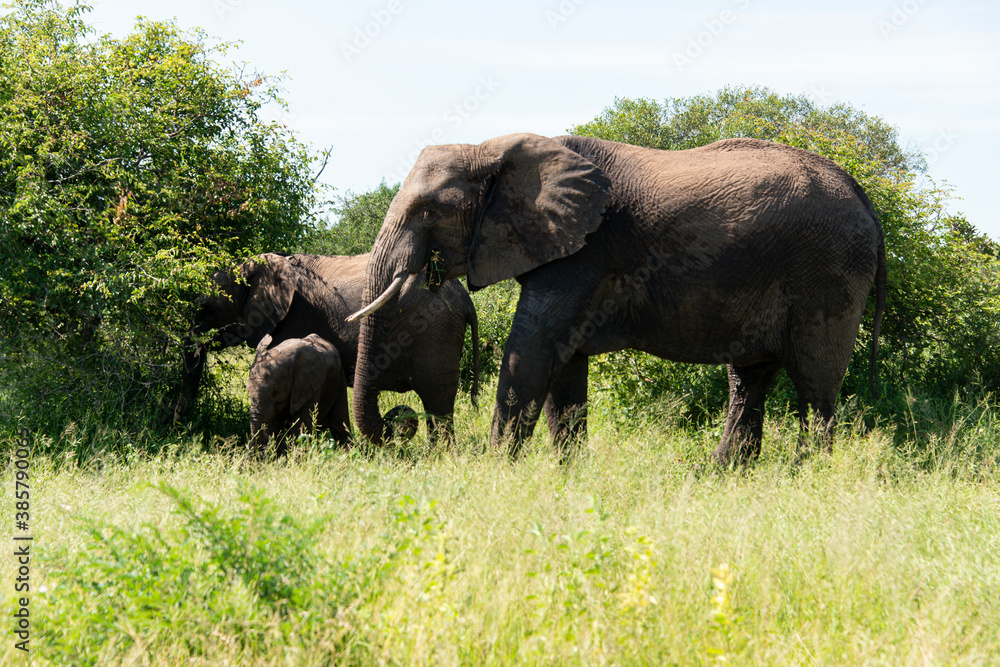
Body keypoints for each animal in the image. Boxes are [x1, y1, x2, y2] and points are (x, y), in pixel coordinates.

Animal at [175, 252, 480, 442]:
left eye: (209, 310)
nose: (180, 426)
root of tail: (465, 298)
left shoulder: (296, 315)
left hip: (435, 330)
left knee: (437, 398)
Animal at [349, 133, 886, 464]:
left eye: (428, 211)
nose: (398, 426)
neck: (492, 149)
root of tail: (862, 195)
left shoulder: (584, 252)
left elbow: (531, 350)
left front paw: (496, 473)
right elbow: (563, 366)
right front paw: (567, 474)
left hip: (827, 271)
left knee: (815, 382)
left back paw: (804, 474)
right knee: (750, 377)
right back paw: (723, 474)